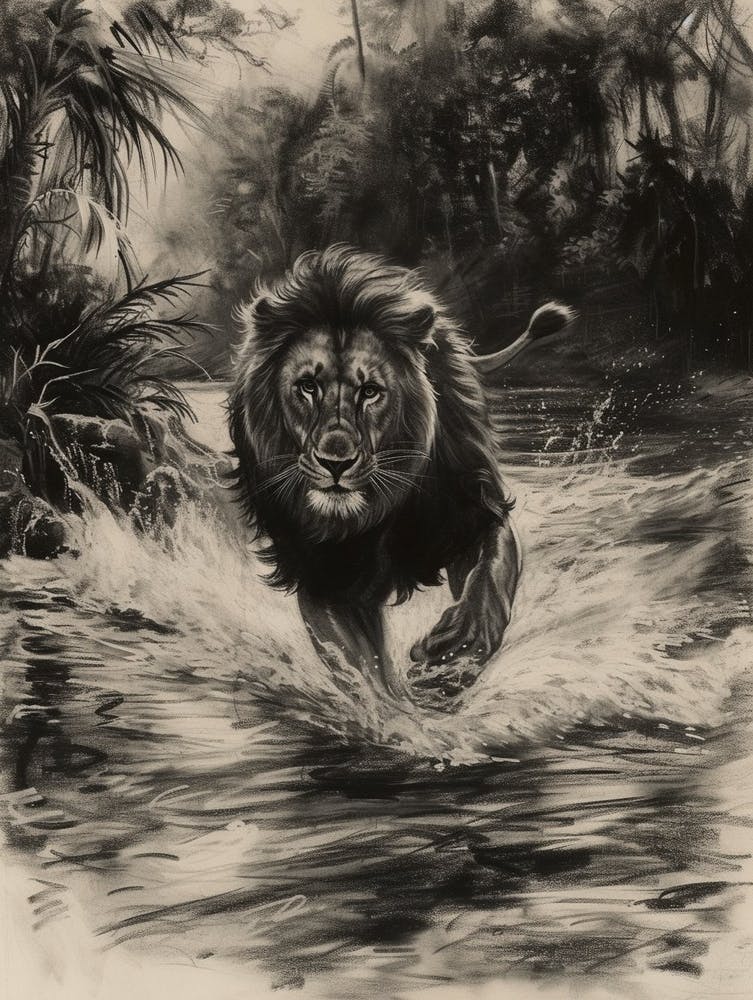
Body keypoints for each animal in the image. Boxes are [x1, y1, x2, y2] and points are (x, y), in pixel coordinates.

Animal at [228, 246, 573, 702]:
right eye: (307, 386)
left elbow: (488, 584)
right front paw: (393, 714)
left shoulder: (474, 514)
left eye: (370, 391)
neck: (376, 514)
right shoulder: (324, 576)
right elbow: (361, 670)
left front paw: (452, 657)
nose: (335, 462)